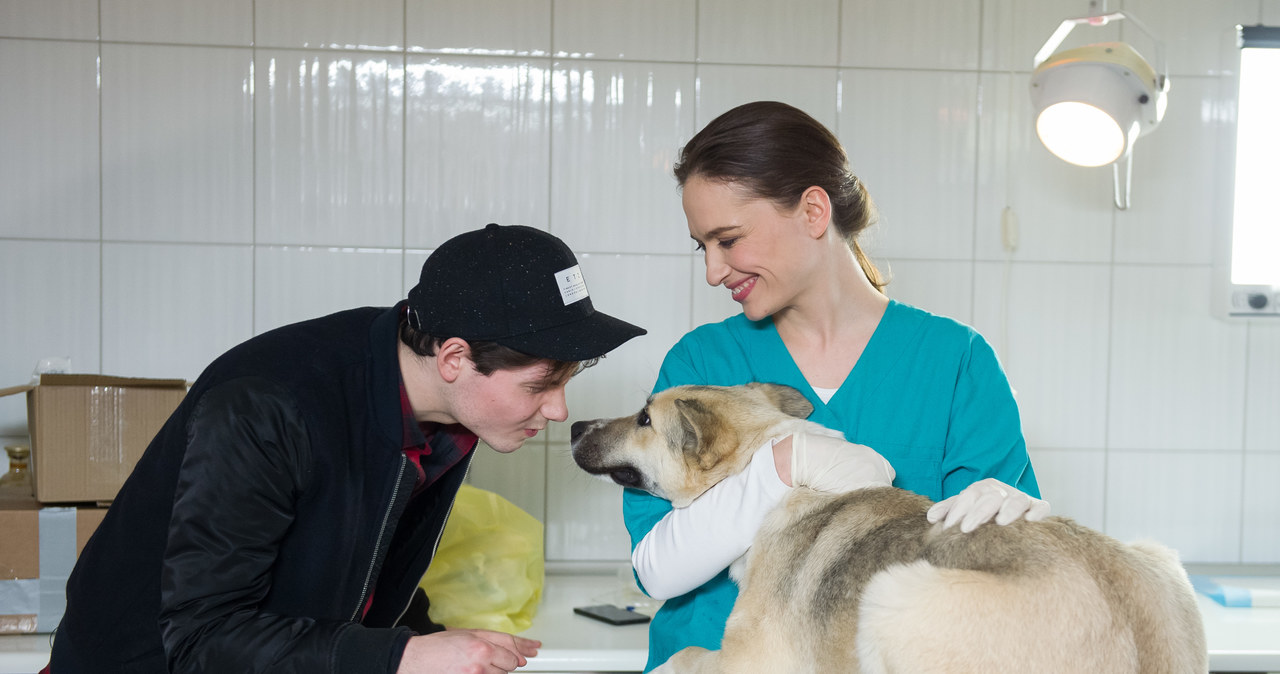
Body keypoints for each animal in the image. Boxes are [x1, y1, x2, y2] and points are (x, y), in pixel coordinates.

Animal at [573, 386, 1208, 674]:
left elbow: (682, 657)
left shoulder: (751, 658)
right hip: (1160, 557)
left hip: (891, 593)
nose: (575, 423)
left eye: (644, 418)